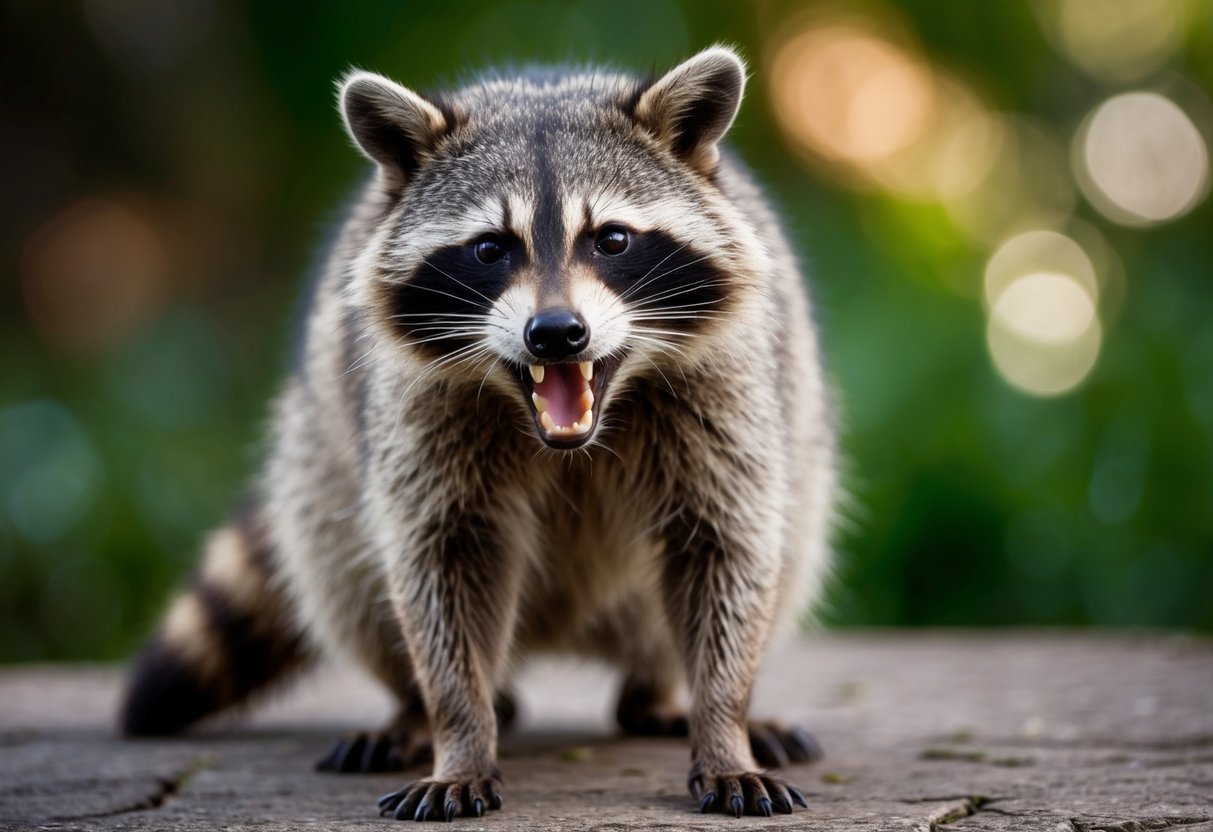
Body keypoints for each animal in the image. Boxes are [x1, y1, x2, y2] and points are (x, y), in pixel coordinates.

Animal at [120, 46, 838, 821]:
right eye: (491, 248)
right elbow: (441, 566)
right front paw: (457, 734)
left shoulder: (726, 391)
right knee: (338, 568)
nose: (555, 333)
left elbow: (725, 551)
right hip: (318, 447)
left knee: (785, 551)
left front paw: (724, 724)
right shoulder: (415, 411)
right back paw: (412, 711)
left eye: (612, 240)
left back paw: (662, 691)